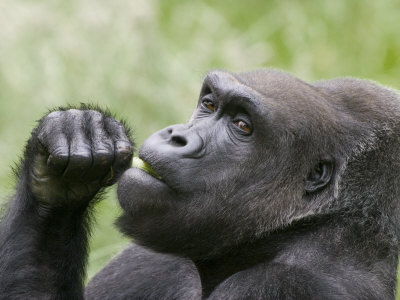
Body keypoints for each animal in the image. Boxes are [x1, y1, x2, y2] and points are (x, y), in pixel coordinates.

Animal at [0, 69, 400, 298]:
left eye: (242, 126)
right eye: (208, 104)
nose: (178, 136)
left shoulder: (280, 286)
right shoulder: (153, 257)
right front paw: (69, 146)